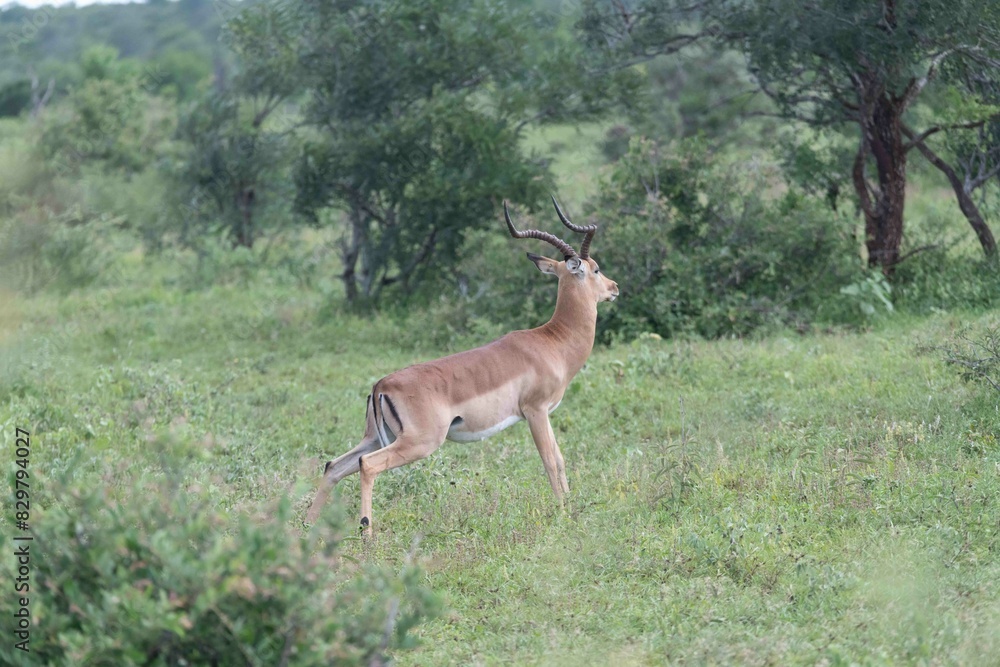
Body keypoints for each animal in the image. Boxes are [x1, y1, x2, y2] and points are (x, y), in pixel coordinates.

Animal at [306, 197, 619, 532]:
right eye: (596, 268)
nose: (614, 287)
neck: (553, 341)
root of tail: (381, 386)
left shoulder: (543, 414)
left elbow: (559, 459)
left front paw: (571, 508)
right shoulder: (535, 411)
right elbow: (550, 460)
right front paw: (562, 513)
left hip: (376, 437)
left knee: (334, 465)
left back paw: (306, 526)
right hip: (418, 442)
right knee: (367, 465)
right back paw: (366, 531)